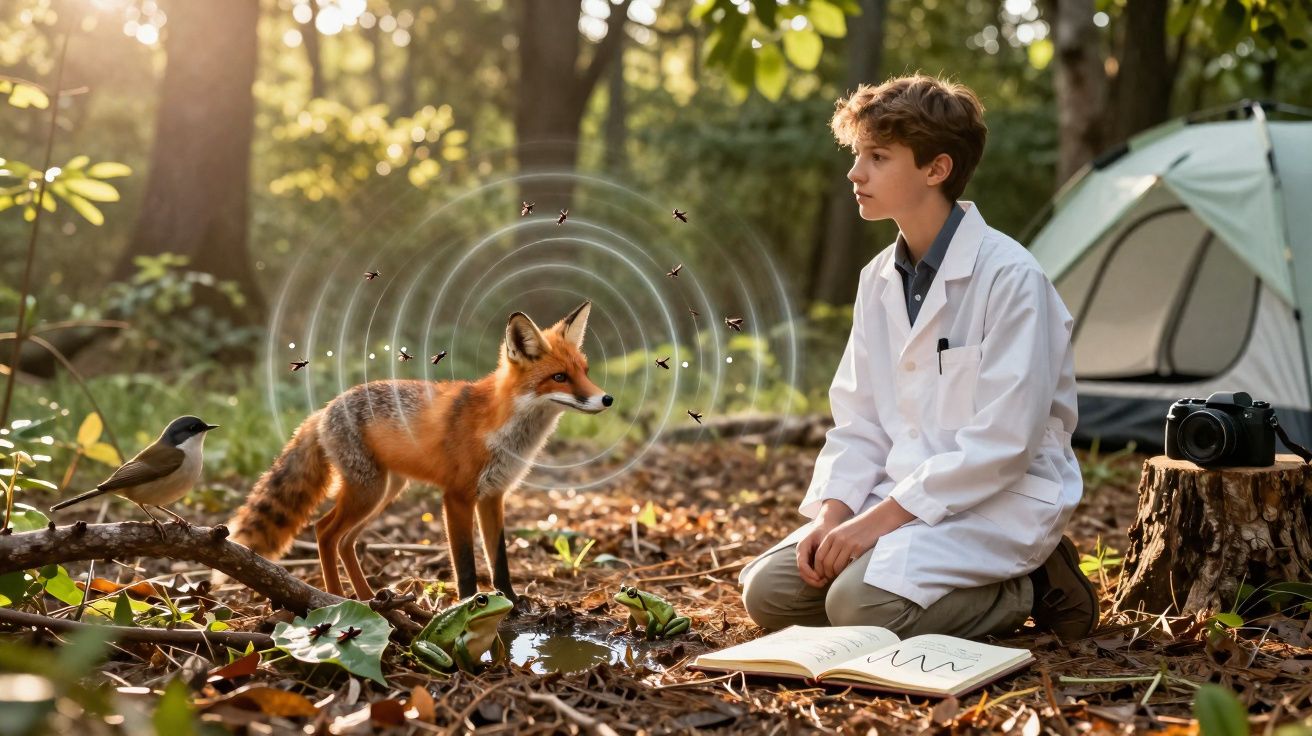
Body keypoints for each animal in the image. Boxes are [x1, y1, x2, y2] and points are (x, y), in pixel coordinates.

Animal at [223, 301, 611, 602]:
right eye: (559, 377)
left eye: (585, 371)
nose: (606, 399)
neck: (505, 429)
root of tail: (323, 410)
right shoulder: (457, 496)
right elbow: (465, 564)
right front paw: (470, 606)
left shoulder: (493, 495)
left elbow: (498, 559)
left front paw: (512, 602)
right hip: (368, 491)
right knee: (324, 532)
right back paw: (335, 598)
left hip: (384, 492)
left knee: (345, 541)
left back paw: (367, 598)